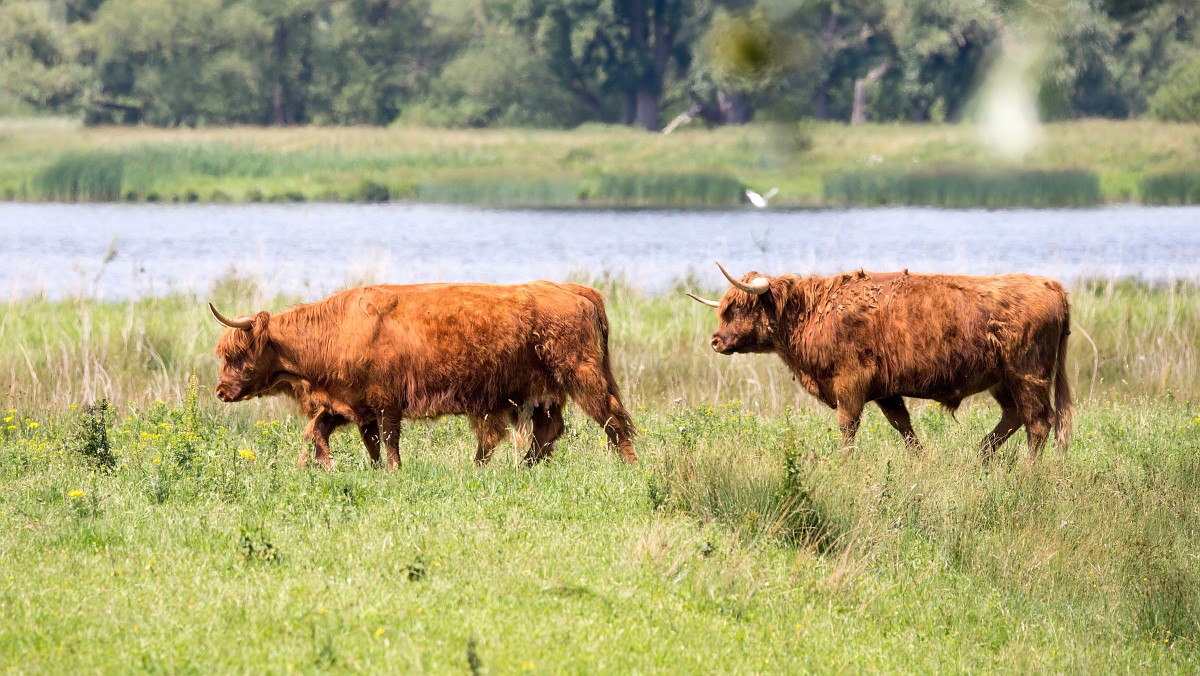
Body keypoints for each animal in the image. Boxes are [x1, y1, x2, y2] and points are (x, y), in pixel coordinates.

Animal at [209, 281, 637, 468]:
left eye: (237, 353)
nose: (221, 391)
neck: (335, 331)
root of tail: (574, 290)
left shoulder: (385, 402)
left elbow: (388, 440)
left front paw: (392, 471)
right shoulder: (350, 404)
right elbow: (327, 433)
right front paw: (336, 466)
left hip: (583, 376)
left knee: (613, 419)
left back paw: (630, 467)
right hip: (545, 391)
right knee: (547, 431)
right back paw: (517, 469)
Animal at [687, 262, 1073, 464]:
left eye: (739, 307)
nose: (716, 341)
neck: (811, 313)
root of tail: (1051, 285)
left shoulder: (849, 382)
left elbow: (848, 425)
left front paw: (844, 462)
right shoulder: (886, 390)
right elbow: (903, 426)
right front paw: (920, 461)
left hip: (1027, 374)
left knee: (1038, 423)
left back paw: (1027, 470)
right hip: (1001, 379)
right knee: (1014, 416)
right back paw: (981, 455)